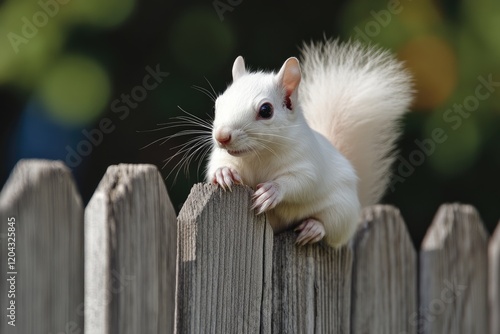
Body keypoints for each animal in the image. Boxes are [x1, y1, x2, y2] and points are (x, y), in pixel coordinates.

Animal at [205, 39, 412, 248]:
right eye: (218, 103)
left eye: (266, 110)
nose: (222, 136)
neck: (258, 155)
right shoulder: (223, 156)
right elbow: (217, 165)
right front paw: (223, 173)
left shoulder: (309, 161)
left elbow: (303, 182)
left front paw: (272, 190)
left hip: (342, 211)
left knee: (332, 230)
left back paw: (314, 228)